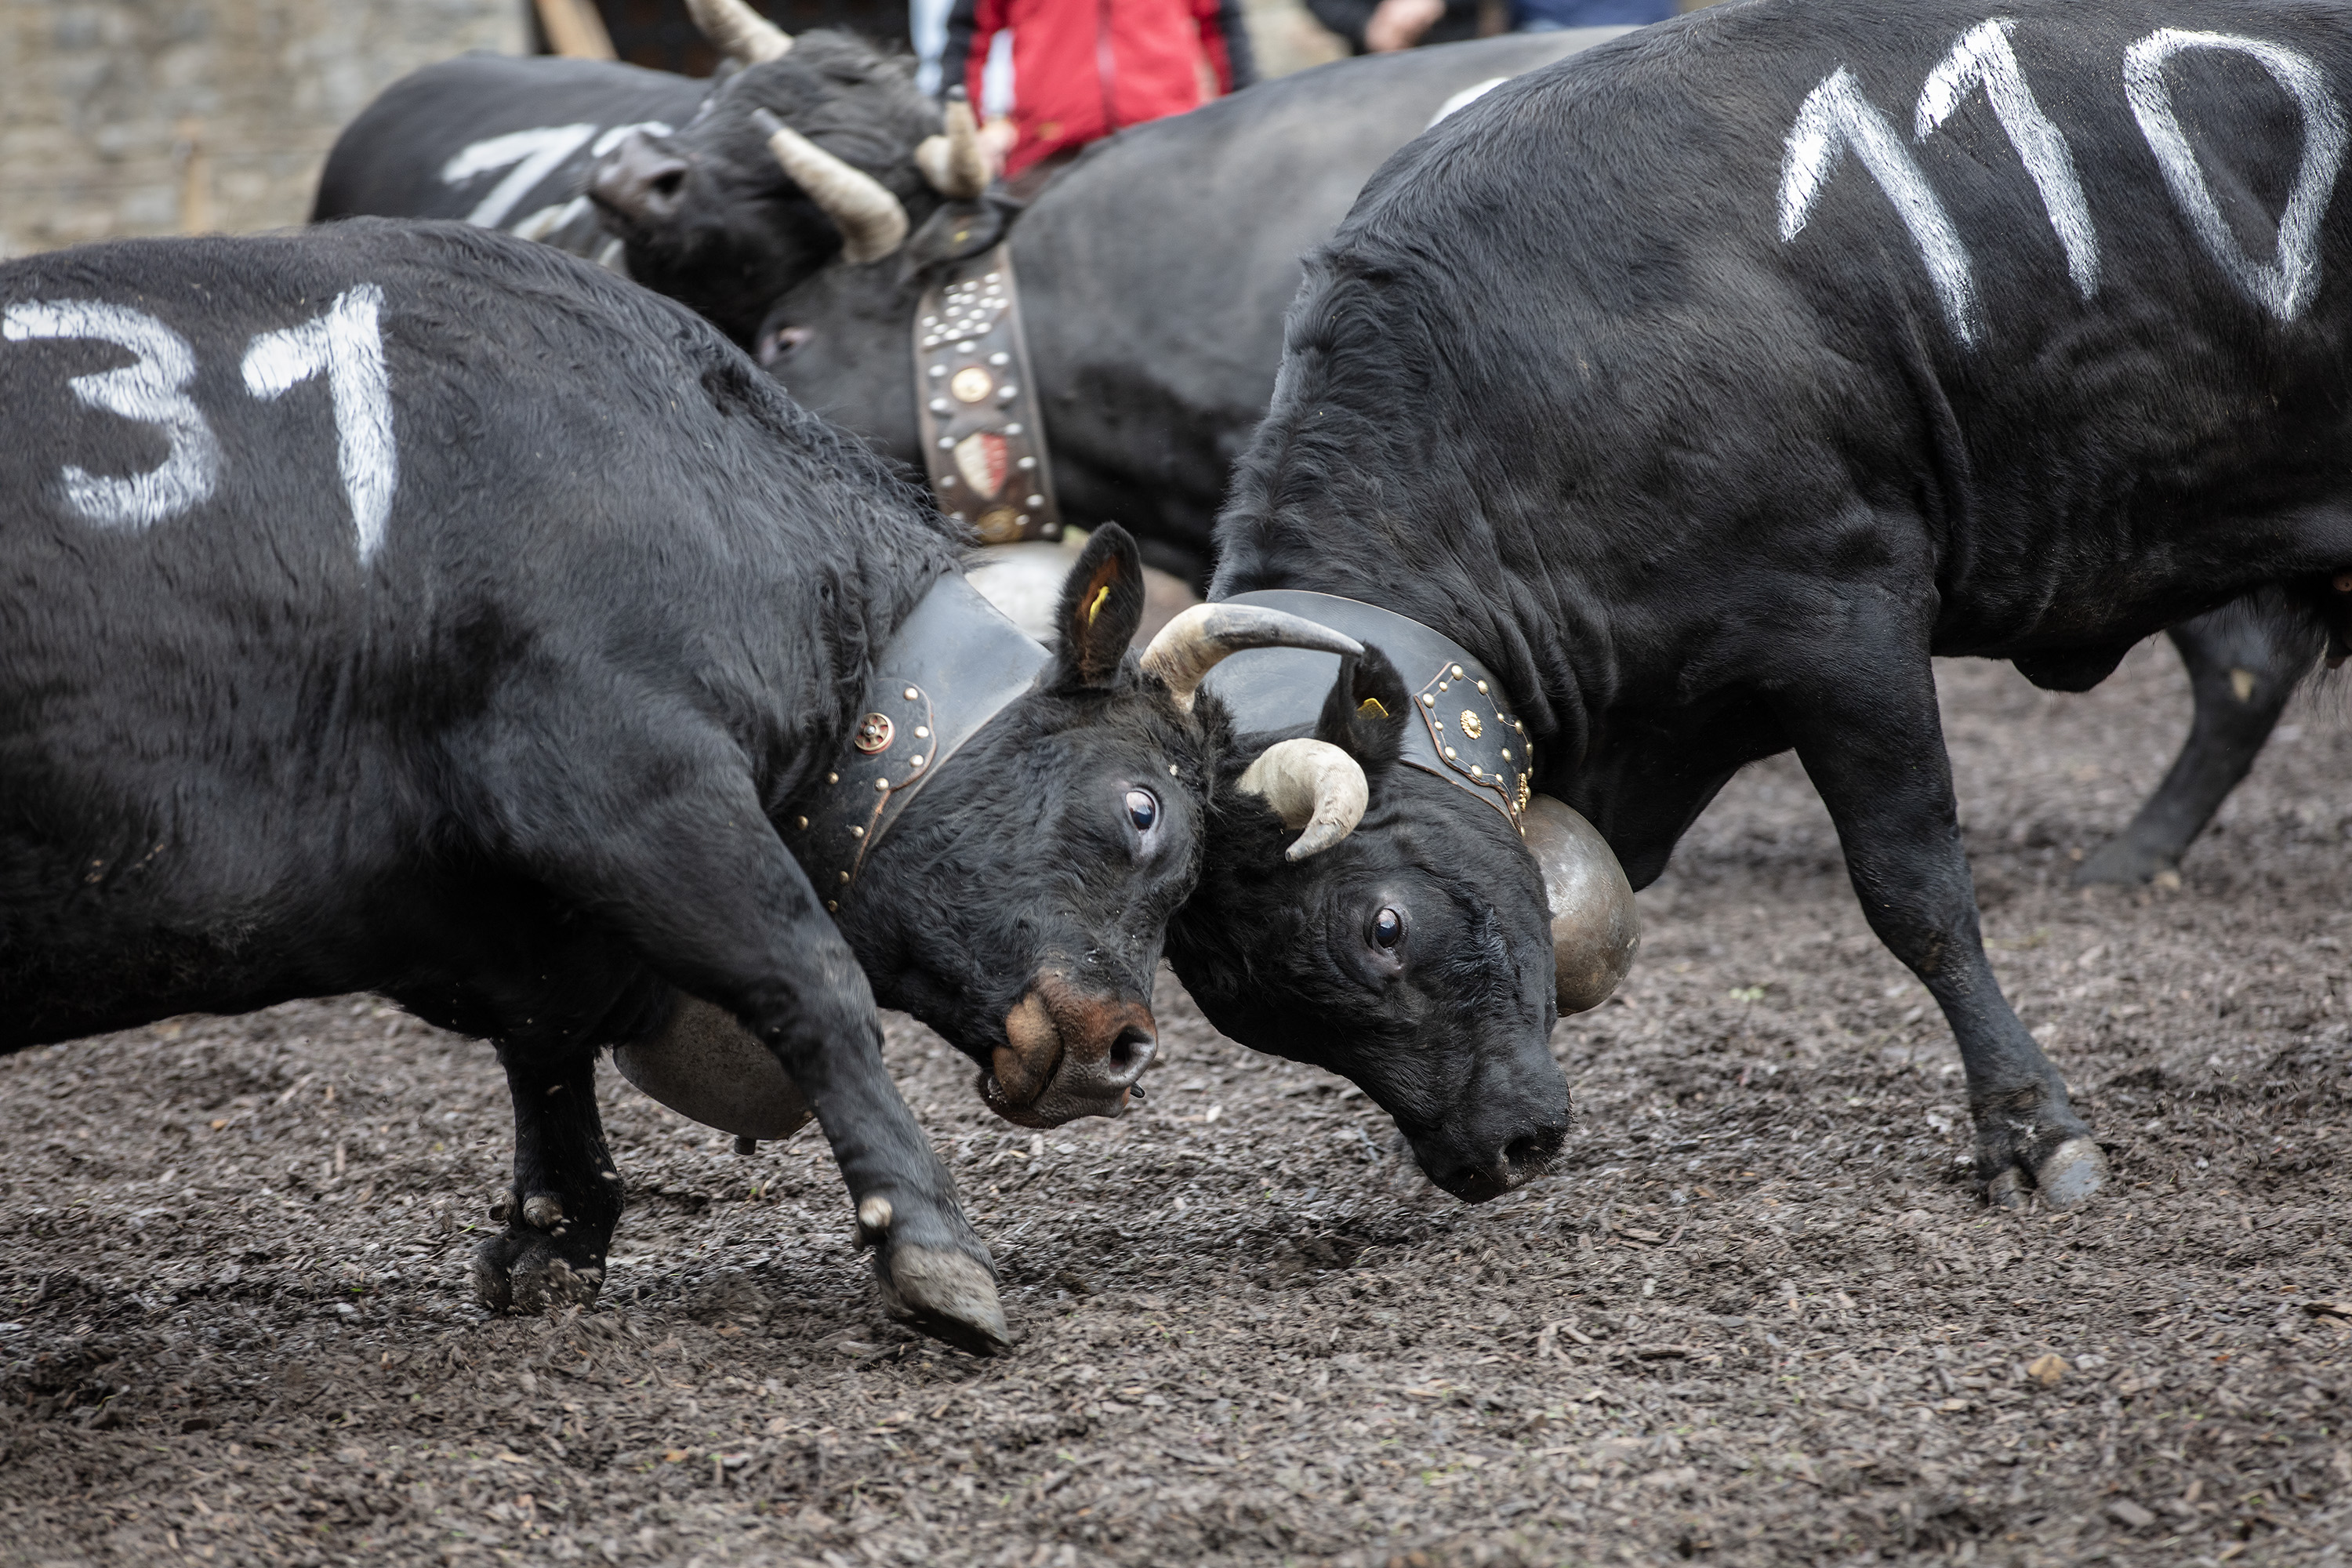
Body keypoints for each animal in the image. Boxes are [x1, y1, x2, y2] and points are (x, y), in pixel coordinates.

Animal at [0, 219, 1354, 1352]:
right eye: (1142, 811)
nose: (1124, 1050)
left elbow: (546, 1051)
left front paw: (555, 1236)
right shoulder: (625, 781)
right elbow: (813, 979)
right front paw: (932, 1248)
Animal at [1170, 0, 2352, 1212]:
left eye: (1383, 925)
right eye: (1261, 1016)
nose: (1489, 1155)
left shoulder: (1847, 619)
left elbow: (1916, 896)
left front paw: (2032, 1129)